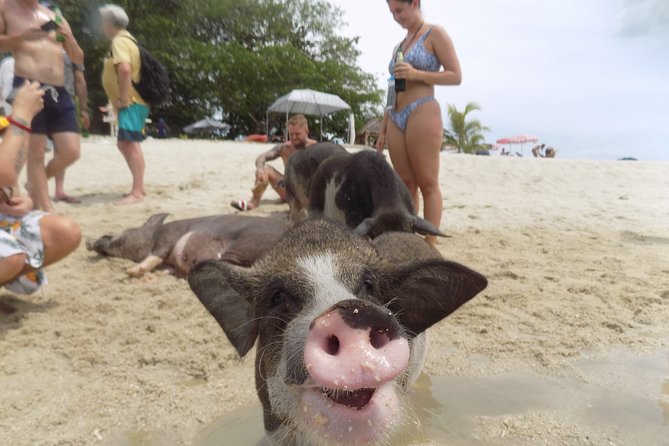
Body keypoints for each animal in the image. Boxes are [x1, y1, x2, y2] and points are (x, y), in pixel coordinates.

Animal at [86, 213, 288, 278]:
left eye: (108, 235)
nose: (88, 242)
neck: (153, 234)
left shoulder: (168, 237)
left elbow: (155, 255)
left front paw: (131, 272)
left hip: (244, 245)